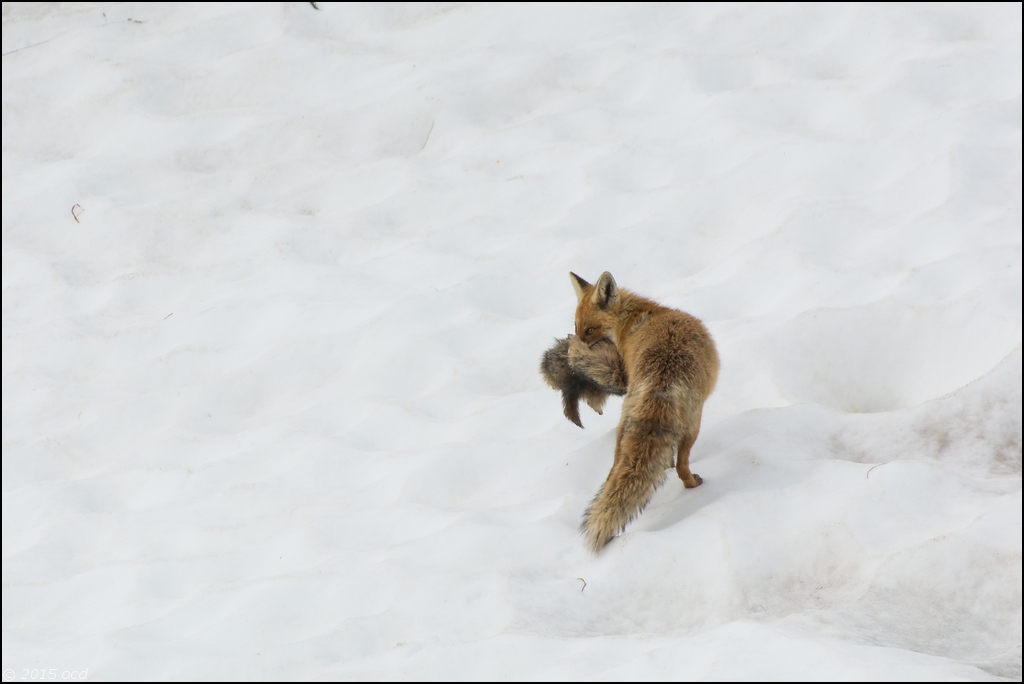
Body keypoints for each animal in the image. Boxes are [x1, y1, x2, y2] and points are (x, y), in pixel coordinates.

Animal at [569, 270, 720, 552]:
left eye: (589, 330)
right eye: (576, 329)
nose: (574, 353)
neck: (636, 319)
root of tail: (660, 383)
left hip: (623, 431)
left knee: (613, 475)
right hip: (694, 424)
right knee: (682, 467)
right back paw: (692, 483)